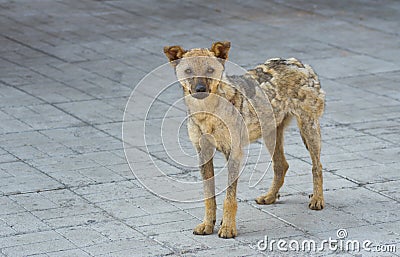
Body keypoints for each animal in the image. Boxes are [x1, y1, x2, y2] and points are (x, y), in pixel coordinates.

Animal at [162, 41, 324, 237]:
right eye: (188, 71)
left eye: (210, 70)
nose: (200, 90)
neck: (207, 113)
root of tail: (299, 63)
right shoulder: (203, 153)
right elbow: (209, 195)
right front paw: (208, 224)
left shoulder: (234, 154)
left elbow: (229, 198)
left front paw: (227, 228)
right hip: (271, 136)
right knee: (281, 166)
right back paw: (269, 197)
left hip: (308, 130)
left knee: (317, 167)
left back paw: (317, 200)